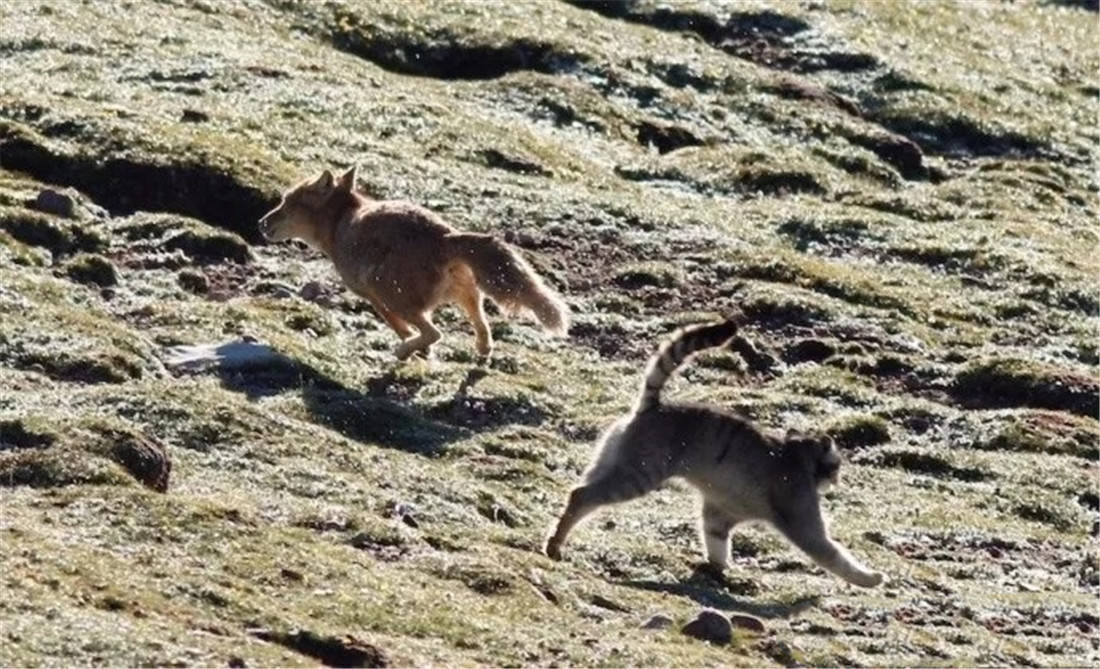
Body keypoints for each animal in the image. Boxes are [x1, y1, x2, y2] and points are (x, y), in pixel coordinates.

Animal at [257, 167, 567, 360]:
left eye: (286, 202)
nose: (261, 222)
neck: (341, 222)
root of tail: (445, 236)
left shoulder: (372, 296)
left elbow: (397, 325)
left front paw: (413, 347)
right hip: (467, 294)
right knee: (482, 326)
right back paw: (482, 350)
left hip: (393, 292)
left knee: (434, 332)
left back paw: (404, 351)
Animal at [547, 316, 884, 589]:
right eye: (837, 465)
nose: (837, 479)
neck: (798, 452)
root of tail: (653, 406)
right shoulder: (801, 517)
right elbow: (833, 555)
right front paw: (869, 578)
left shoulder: (719, 512)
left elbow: (717, 543)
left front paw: (720, 569)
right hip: (638, 474)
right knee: (582, 495)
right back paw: (556, 544)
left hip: (610, 460)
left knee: (578, 491)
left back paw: (555, 538)